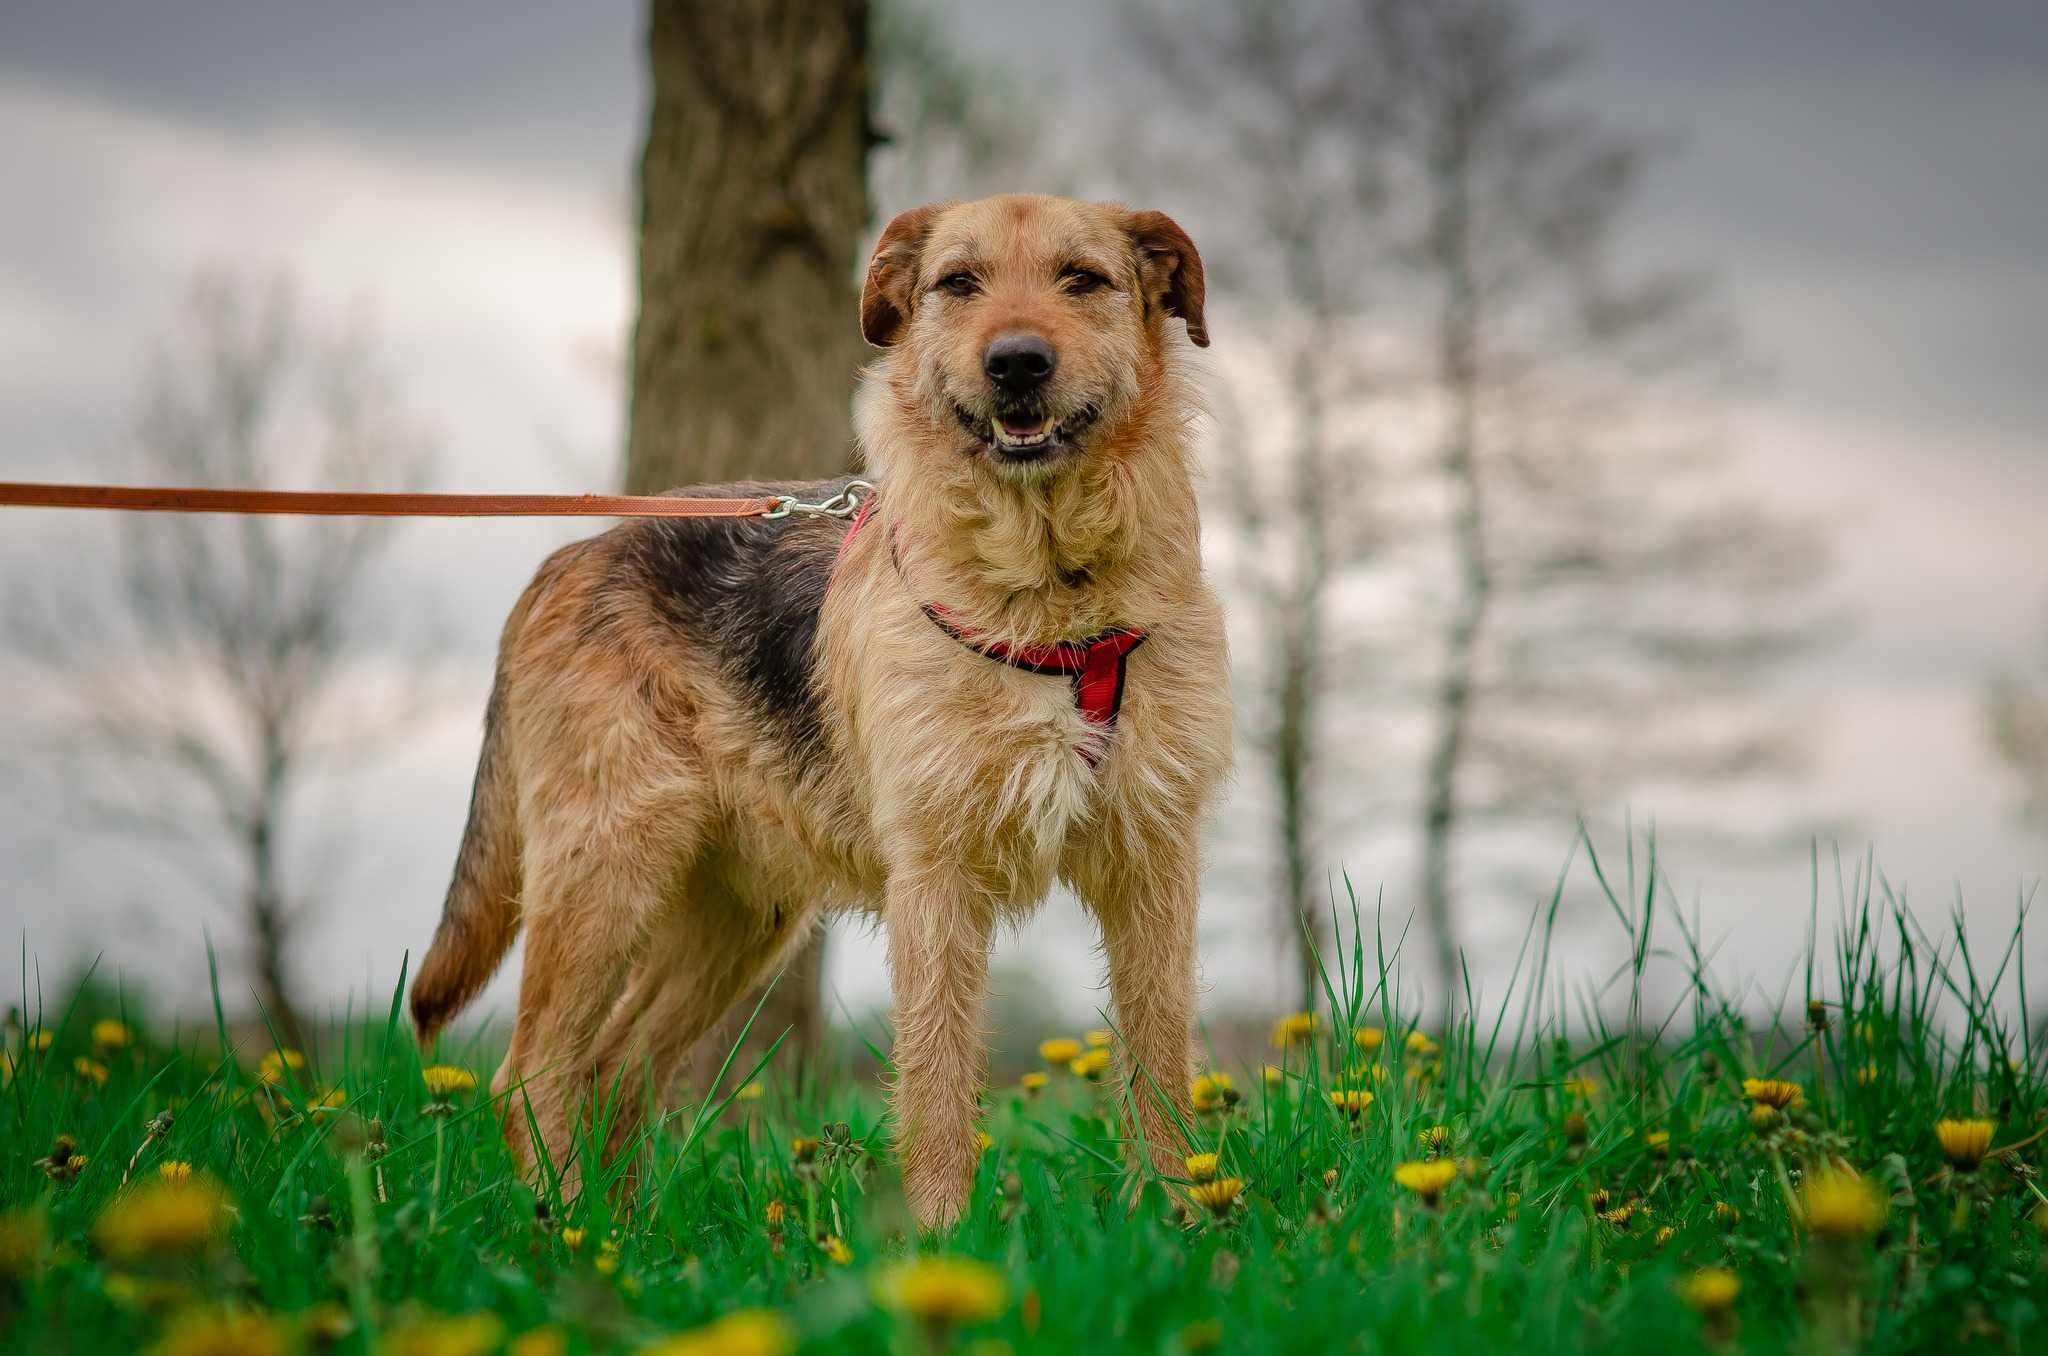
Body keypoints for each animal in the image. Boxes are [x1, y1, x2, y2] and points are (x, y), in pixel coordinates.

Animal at [407, 193, 1220, 1229]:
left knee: (618, 1064)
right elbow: (938, 1083)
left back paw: (624, 1240)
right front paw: (943, 1241)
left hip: (736, 915)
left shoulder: (1153, 861)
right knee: (534, 1073)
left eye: (1083, 279)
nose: (1016, 362)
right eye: (959, 283)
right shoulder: (935, 879)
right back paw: (564, 1234)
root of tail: (568, 556)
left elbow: (1161, 1065)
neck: (1049, 592)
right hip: (608, 868)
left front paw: (1179, 1226)